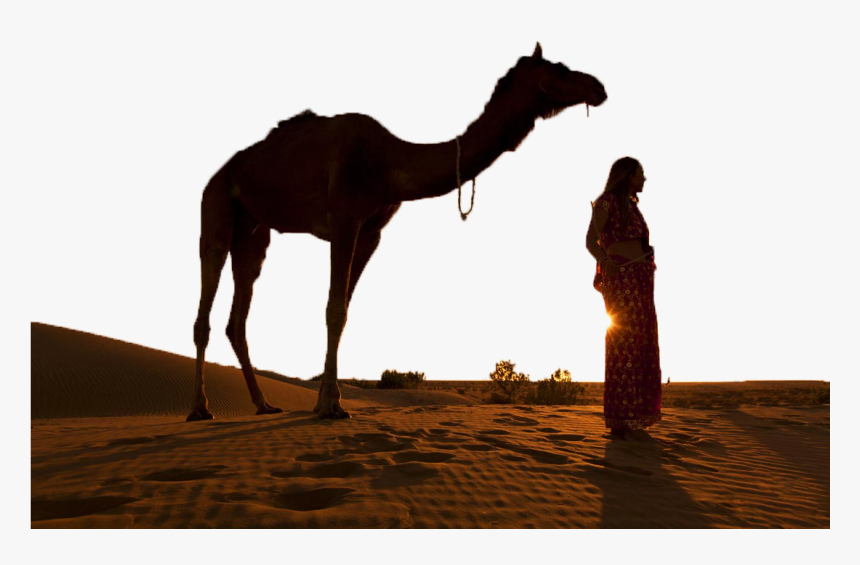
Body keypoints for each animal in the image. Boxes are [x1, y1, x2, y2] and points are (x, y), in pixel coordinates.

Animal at [188, 43, 607, 421]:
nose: (598, 86)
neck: (388, 161)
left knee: (238, 315)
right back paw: (199, 409)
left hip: (254, 230)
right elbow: (333, 309)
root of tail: (224, 169)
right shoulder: (344, 220)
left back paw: (262, 404)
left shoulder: (371, 232)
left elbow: (344, 309)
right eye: (560, 69)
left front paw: (330, 400)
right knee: (207, 297)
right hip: (216, 204)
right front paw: (328, 406)